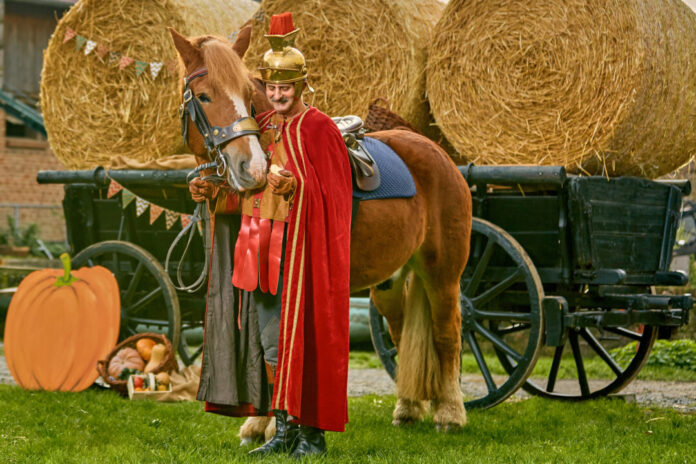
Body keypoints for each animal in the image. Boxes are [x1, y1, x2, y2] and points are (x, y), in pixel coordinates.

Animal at [169, 26, 474, 436]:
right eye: (204, 96)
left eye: (248, 98)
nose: (253, 168)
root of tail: (439, 154)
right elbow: (260, 350)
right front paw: (257, 422)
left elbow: (280, 348)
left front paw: (275, 424)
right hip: (390, 283)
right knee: (399, 333)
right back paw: (408, 408)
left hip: (443, 274)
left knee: (448, 334)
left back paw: (450, 413)